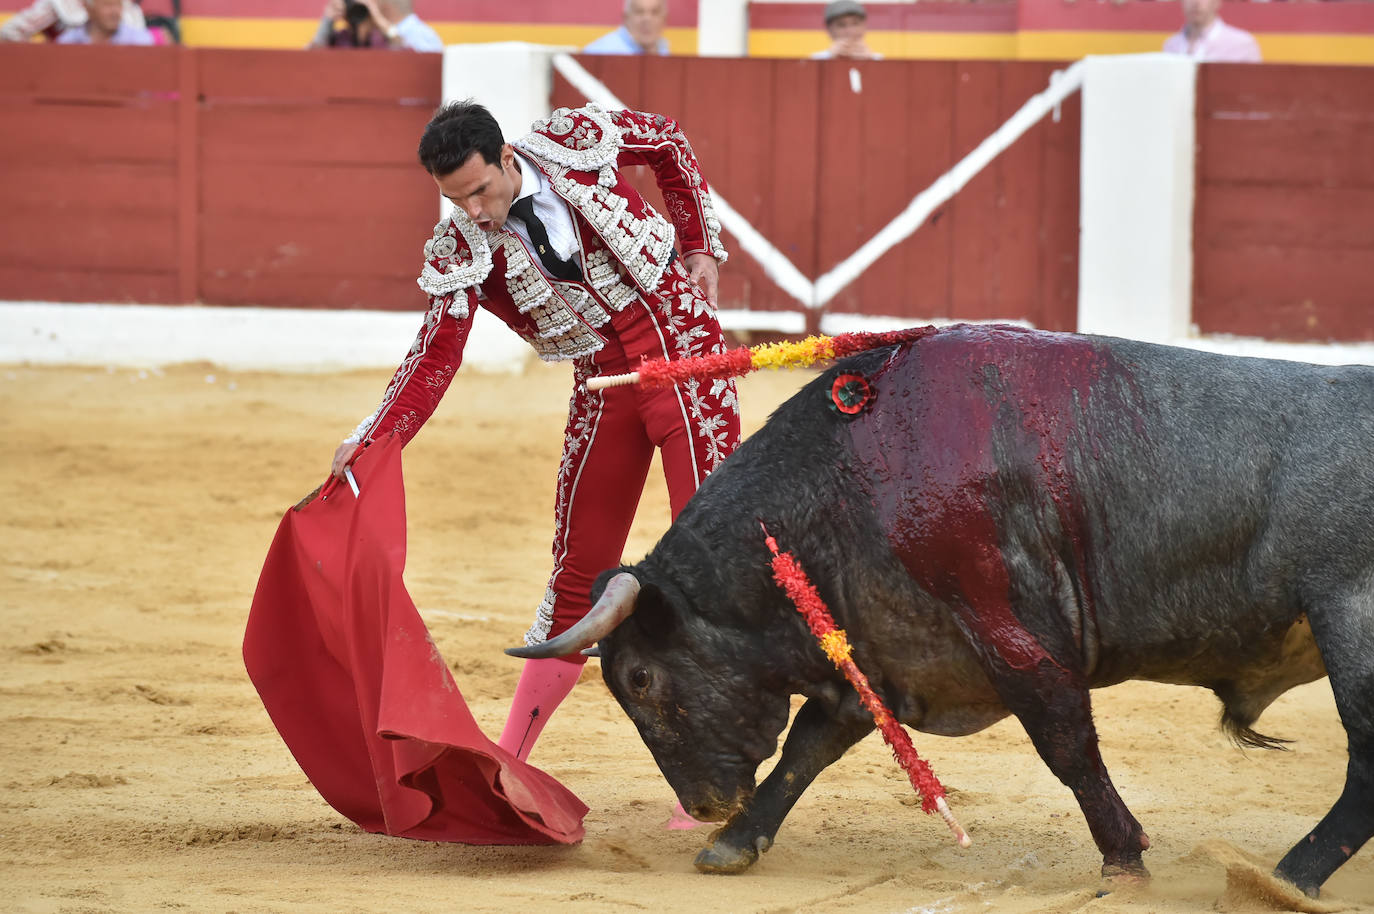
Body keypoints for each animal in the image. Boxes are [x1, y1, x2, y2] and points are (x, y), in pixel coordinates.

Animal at [508, 325, 1374, 890]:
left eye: (641, 679)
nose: (702, 803)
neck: (847, 481)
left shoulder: (1013, 639)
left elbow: (1067, 746)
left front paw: (1124, 858)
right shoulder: (871, 657)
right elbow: (806, 752)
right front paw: (732, 843)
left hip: (1351, 628)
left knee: (1364, 768)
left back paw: (1290, 877)